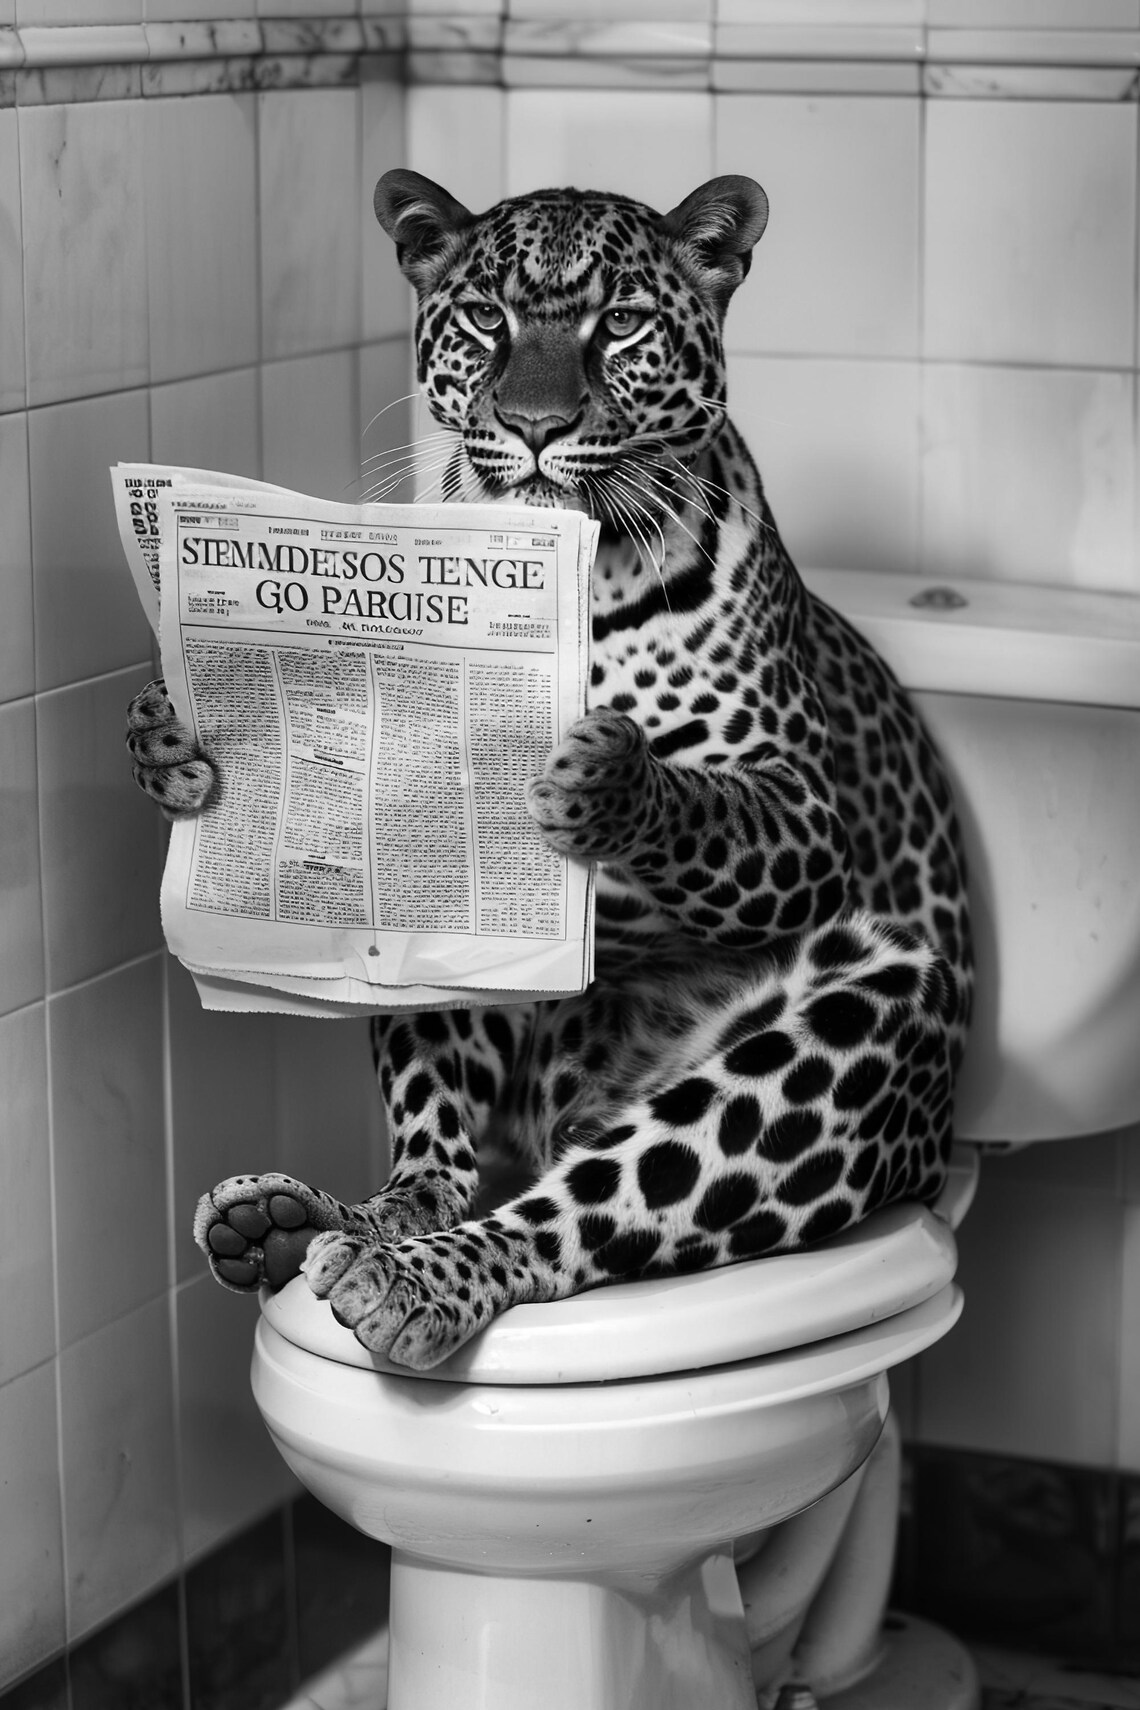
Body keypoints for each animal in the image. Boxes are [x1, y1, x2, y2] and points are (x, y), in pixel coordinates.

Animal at [128, 169, 973, 1388]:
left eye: (619, 324)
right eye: (487, 318)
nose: (534, 428)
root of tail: (587, 1112)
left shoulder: (804, 820)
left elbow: (702, 807)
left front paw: (605, 779)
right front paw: (174, 742)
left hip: (867, 1020)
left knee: (578, 1211)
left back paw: (415, 1277)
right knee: (441, 1162)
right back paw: (311, 1224)